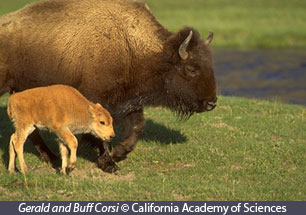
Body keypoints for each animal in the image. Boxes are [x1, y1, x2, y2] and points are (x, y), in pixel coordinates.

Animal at [1, 0, 219, 172]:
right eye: (191, 69)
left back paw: (51, 157)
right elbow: (102, 132)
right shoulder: (98, 100)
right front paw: (109, 163)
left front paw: (117, 153)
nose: (212, 103)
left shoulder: (130, 101)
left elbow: (137, 127)